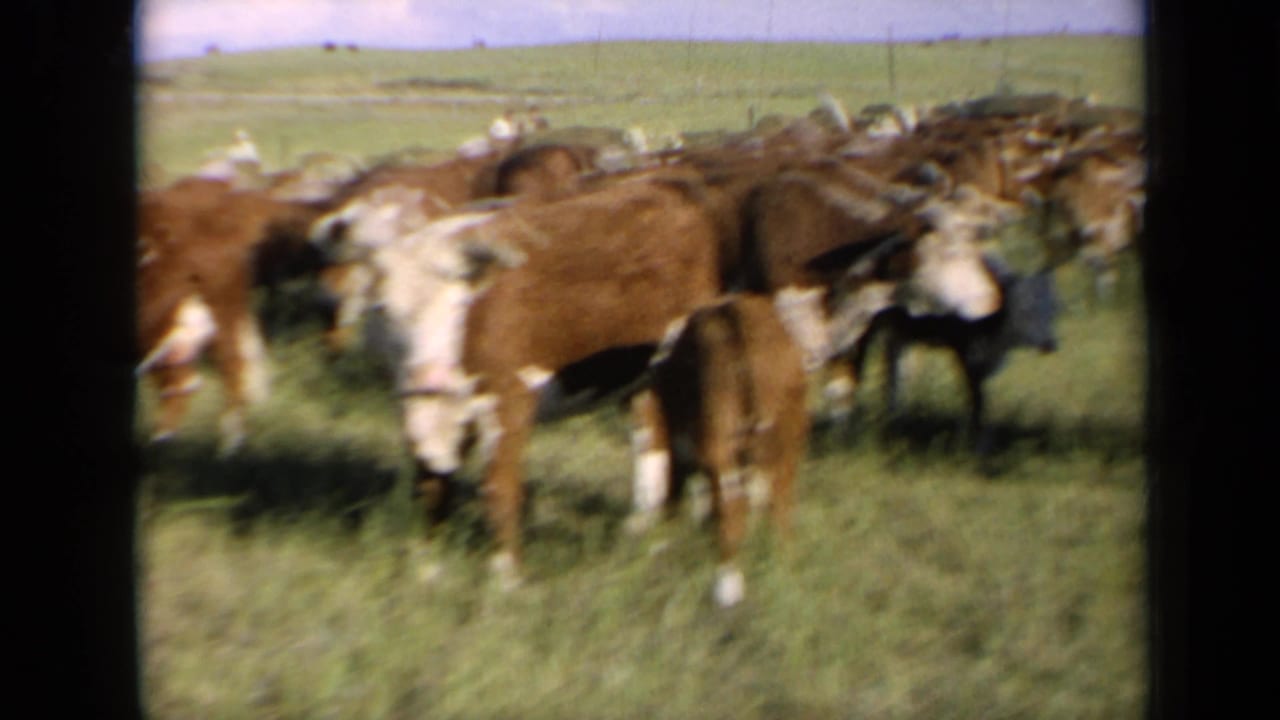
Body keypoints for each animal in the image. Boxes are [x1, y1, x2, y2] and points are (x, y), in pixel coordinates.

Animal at [644, 293, 809, 607]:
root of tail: (736, 315)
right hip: (789, 434)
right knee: (782, 503)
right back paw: (786, 569)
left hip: (719, 439)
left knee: (733, 507)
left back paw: (727, 589)